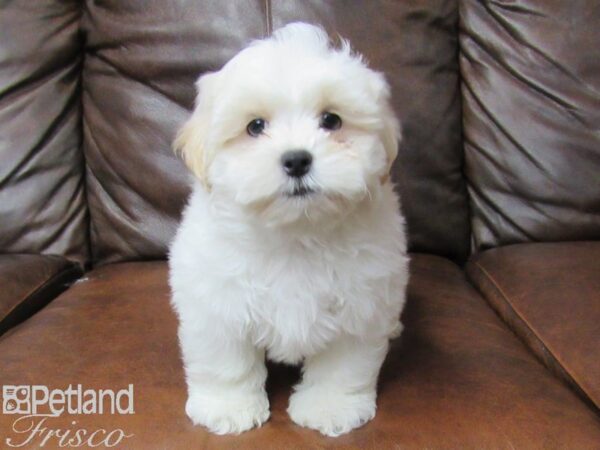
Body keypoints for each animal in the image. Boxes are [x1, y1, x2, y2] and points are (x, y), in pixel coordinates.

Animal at [171, 22, 410, 438]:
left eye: (331, 121)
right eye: (255, 126)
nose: (297, 159)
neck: (296, 233)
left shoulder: (360, 301)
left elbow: (342, 365)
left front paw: (330, 407)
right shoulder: (216, 299)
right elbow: (225, 361)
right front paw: (227, 407)